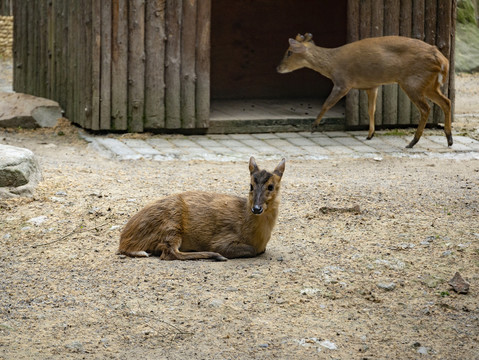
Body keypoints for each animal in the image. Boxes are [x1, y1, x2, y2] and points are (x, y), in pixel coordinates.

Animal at [118, 158, 286, 262]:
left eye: (271, 186)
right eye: (251, 185)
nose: (256, 208)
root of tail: (124, 242)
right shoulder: (221, 240)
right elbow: (251, 250)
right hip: (171, 223)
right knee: (169, 252)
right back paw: (216, 256)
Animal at [278, 32, 454, 148]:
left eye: (289, 52)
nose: (277, 68)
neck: (331, 65)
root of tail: (443, 60)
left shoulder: (343, 82)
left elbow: (326, 104)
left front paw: (314, 127)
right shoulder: (371, 85)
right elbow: (371, 109)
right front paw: (370, 134)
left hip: (413, 82)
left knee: (426, 108)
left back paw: (413, 142)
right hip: (429, 84)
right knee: (446, 102)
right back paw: (449, 139)